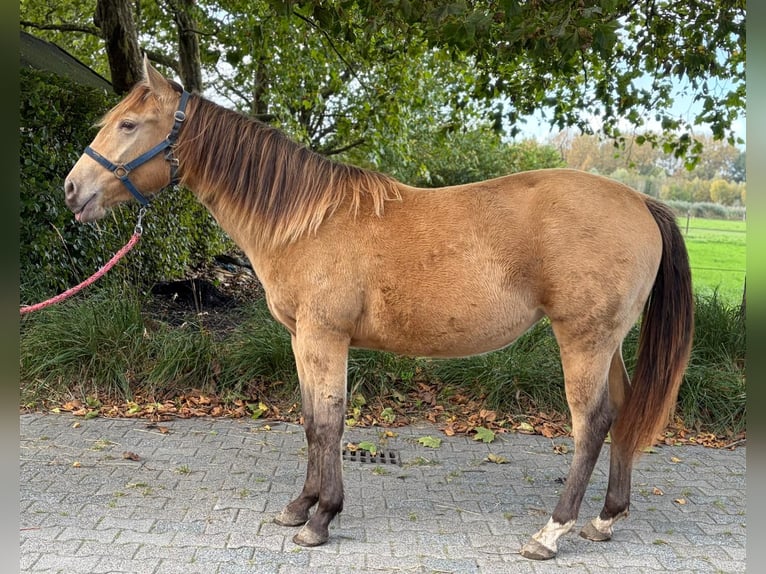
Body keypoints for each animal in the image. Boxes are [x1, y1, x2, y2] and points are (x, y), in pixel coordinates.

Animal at [64, 58, 693, 560]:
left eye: (128, 124)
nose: (73, 190)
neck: (305, 220)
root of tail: (641, 200)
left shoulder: (324, 336)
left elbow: (328, 423)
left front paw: (321, 519)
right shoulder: (301, 339)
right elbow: (311, 421)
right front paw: (301, 505)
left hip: (583, 340)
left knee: (592, 424)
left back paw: (551, 532)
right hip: (606, 342)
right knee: (624, 412)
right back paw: (605, 520)